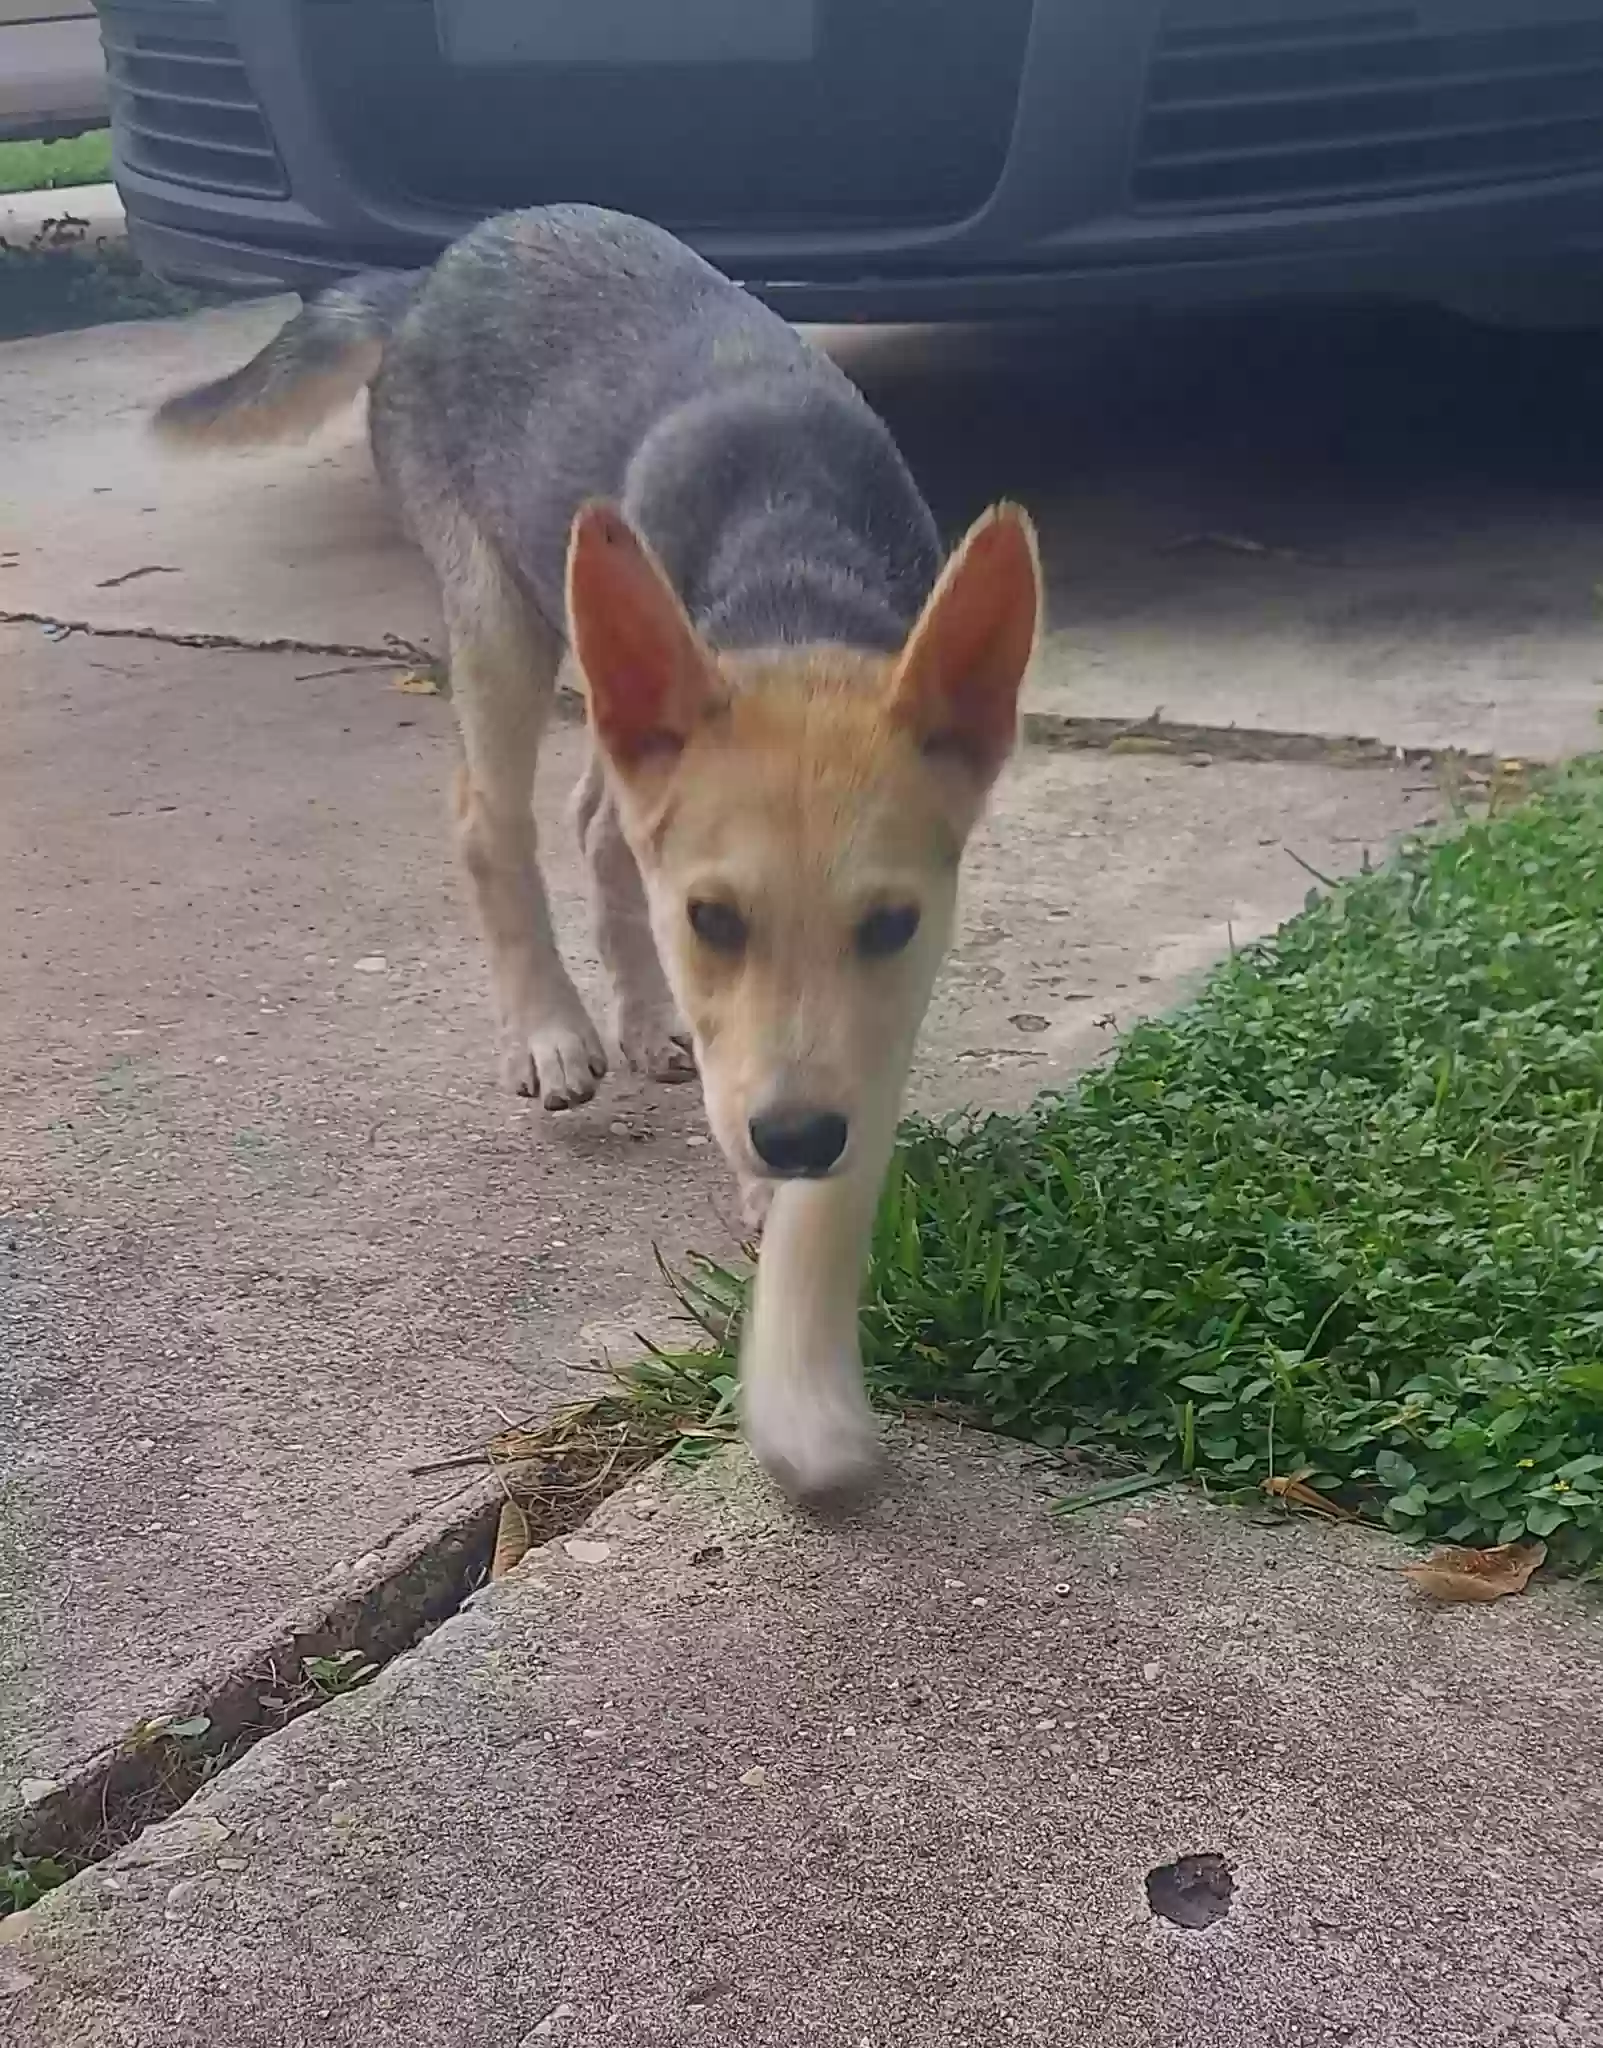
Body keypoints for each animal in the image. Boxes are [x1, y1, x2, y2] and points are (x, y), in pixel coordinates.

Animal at [156, 207, 1040, 1499]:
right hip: (495, 606)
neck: (792, 583)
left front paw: (805, 1356)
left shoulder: (883, 1003)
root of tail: (436, 269)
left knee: (592, 820)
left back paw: (639, 1018)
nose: (788, 1138)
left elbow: (838, 1150)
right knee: (493, 820)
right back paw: (555, 1028)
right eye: (712, 920)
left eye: (889, 924)